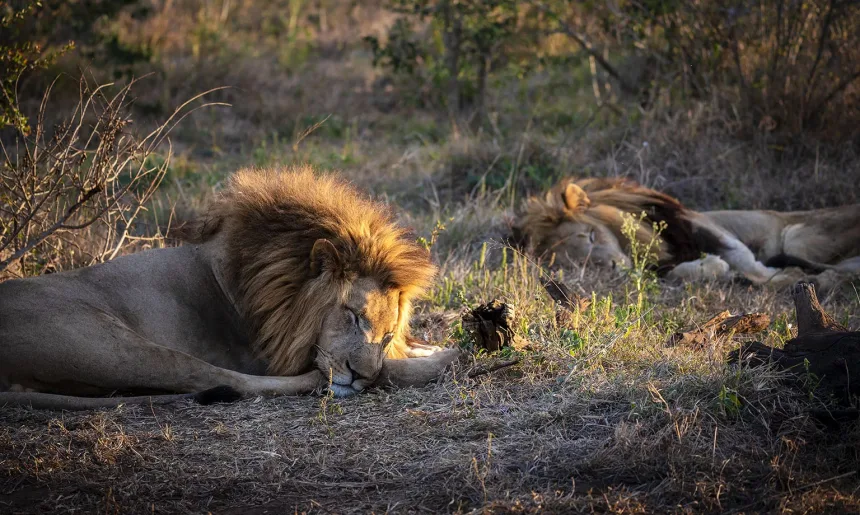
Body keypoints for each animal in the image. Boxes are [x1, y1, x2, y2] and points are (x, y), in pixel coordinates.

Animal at [0, 165, 460, 410]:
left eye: (385, 335)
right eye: (352, 315)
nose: (358, 374)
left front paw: (430, 347)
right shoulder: (271, 356)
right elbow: (389, 370)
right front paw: (443, 357)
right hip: (111, 347)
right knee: (220, 380)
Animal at [515, 177, 860, 287]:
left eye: (590, 235)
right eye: (580, 264)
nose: (613, 267)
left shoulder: (706, 227)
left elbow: (746, 261)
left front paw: (773, 277)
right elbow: (682, 272)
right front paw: (714, 269)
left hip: (796, 237)